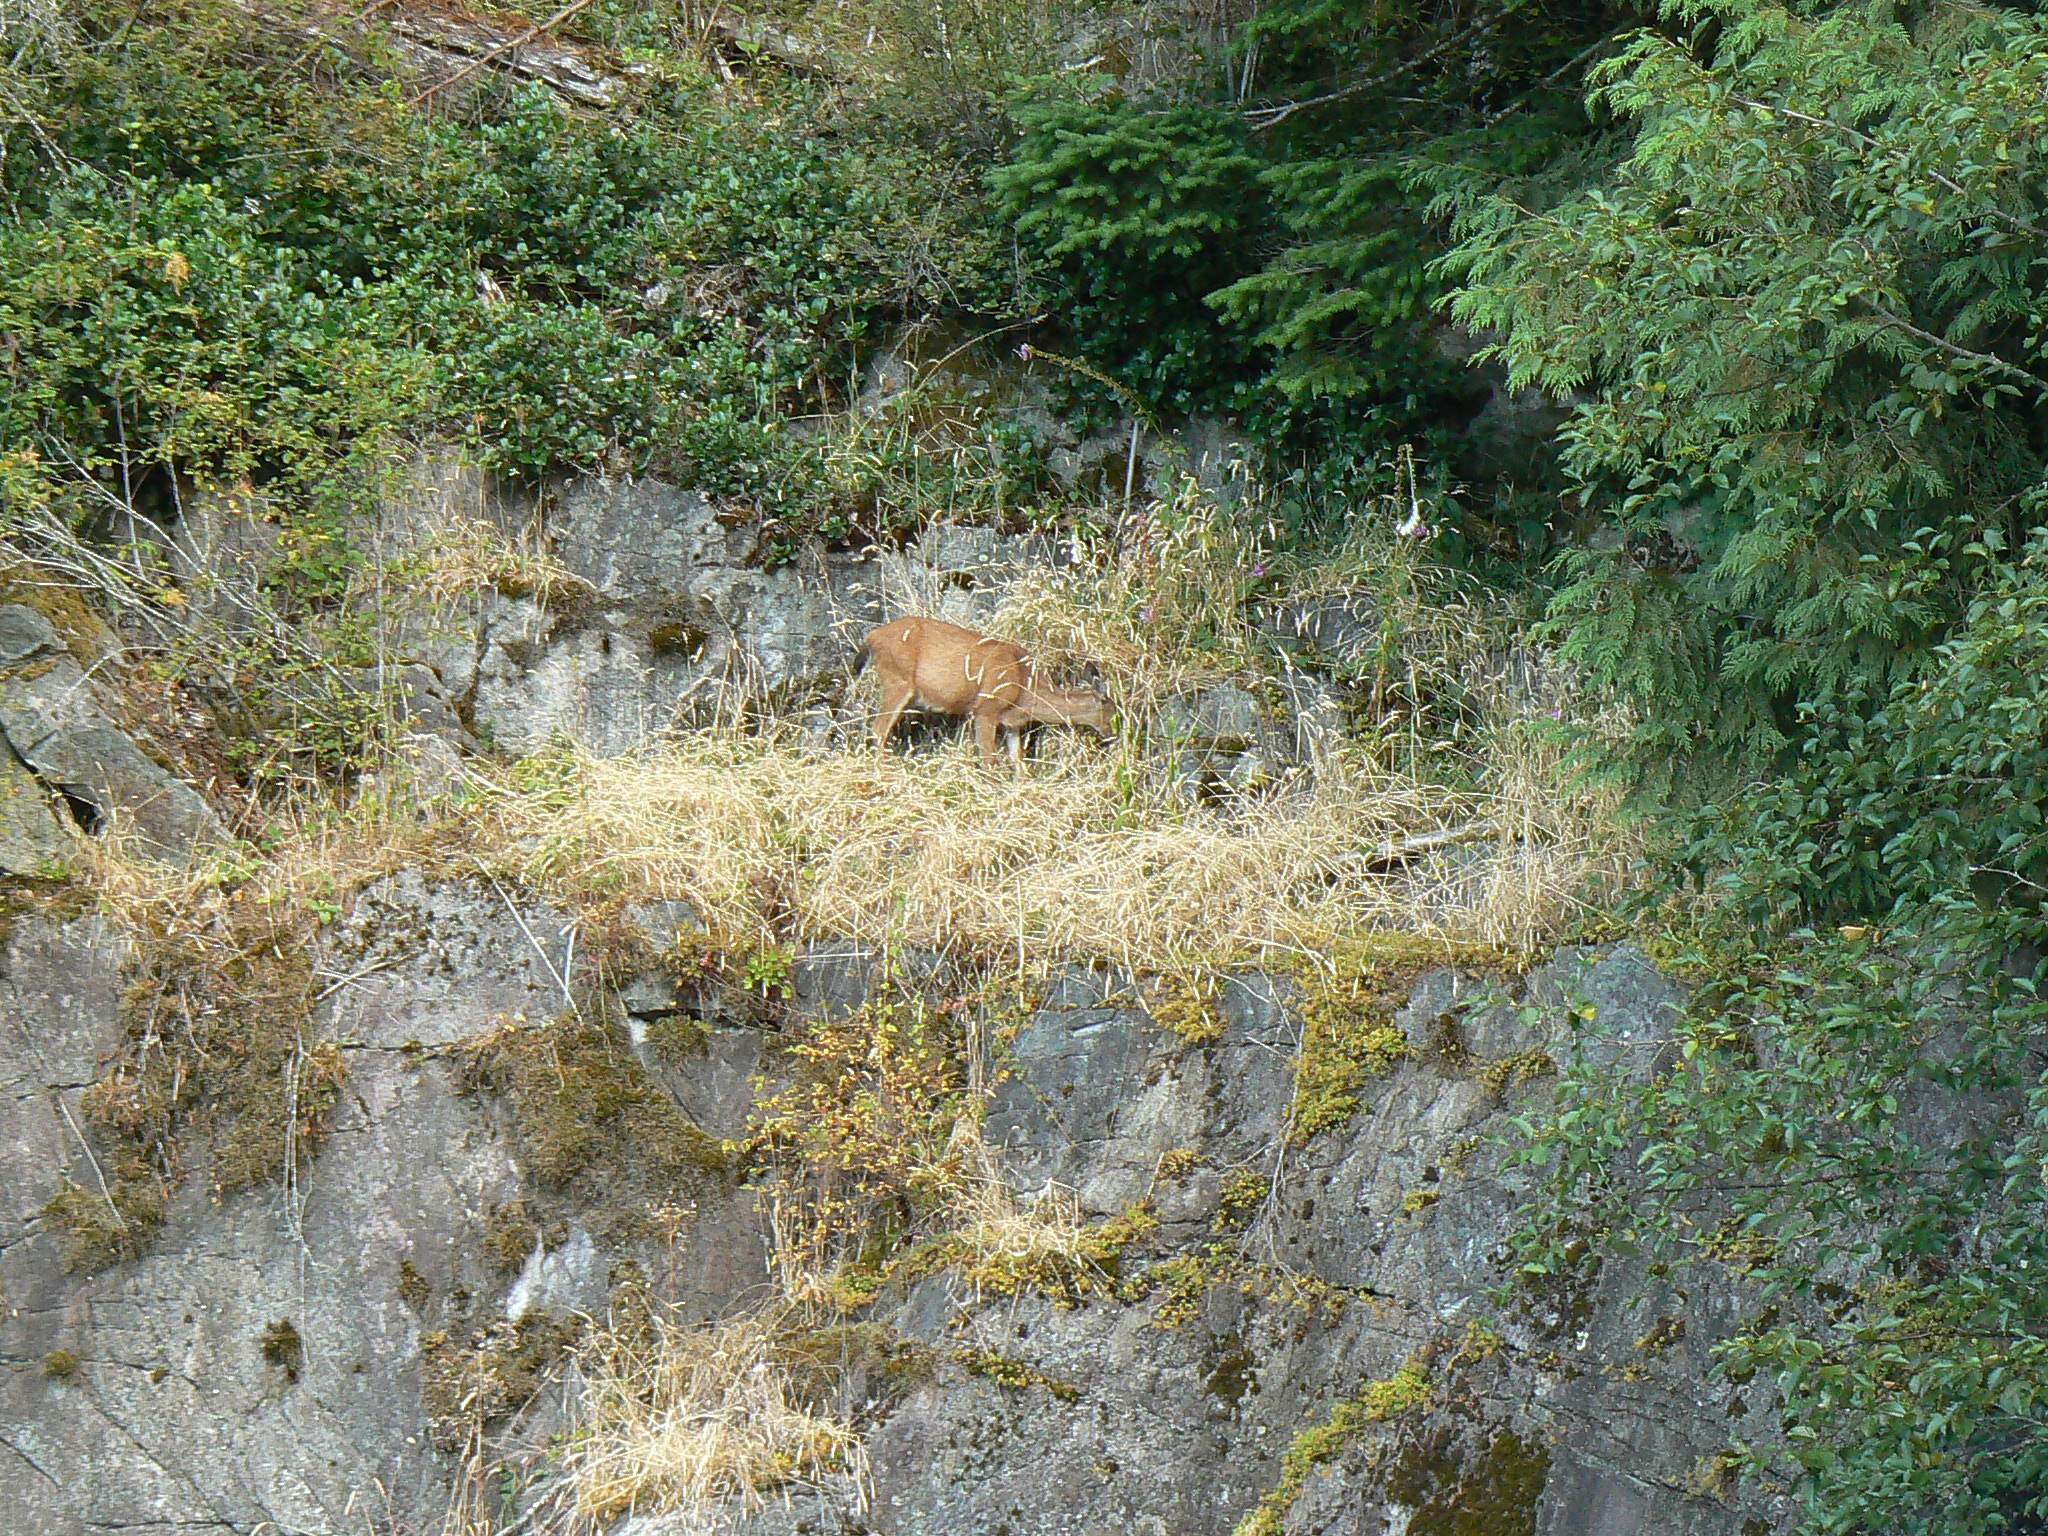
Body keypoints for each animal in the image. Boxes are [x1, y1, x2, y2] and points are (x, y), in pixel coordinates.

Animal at [856, 616, 1113, 770]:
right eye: (1112, 712)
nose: (1112, 736)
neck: (1026, 687)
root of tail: (870, 637)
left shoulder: (1011, 723)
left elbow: (1017, 760)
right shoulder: (985, 709)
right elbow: (989, 758)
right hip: (897, 680)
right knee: (879, 728)